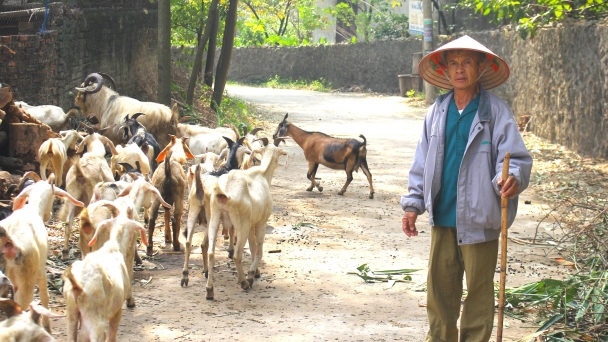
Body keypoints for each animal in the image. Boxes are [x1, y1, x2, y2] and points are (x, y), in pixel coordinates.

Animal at [0, 172, 83, 332]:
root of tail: (7, 240)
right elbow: (45, 296)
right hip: (25, 282)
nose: (49, 214)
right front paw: (47, 326)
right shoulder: (41, 269)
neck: (32, 209)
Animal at [62, 204, 148, 340]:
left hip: (71, 314)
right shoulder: (117, 309)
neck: (113, 248)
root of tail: (78, 286)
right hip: (95, 319)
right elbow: (112, 335)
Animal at [202, 138, 288, 298]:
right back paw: (244, 282)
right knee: (237, 255)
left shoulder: (252, 223)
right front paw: (251, 275)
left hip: (215, 218)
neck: (262, 175)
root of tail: (224, 193)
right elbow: (259, 250)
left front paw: (256, 272)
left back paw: (210, 290)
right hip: (241, 224)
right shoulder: (260, 222)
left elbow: (253, 248)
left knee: (211, 252)